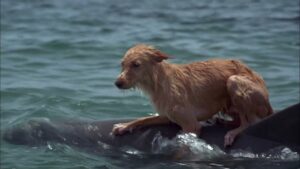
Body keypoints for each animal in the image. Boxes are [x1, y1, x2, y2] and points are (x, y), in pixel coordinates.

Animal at [111, 44, 274, 147]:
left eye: (136, 65)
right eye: (122, 64)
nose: (117, 83)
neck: (159, 82)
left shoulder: (191, 125)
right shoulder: (167, 116)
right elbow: (143, 119)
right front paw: (124, 126)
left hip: (233, 81)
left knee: (248, 123)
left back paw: (232, 133)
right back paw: (223, 122)